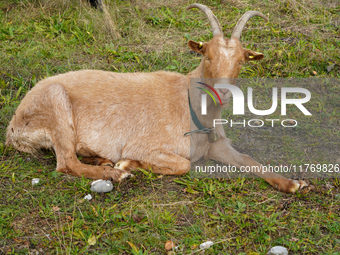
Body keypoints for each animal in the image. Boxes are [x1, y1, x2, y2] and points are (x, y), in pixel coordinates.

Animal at [5, 3, 308, 193]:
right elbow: (183, 165)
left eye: (241, 61)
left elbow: (248, 159)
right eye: (207, 56)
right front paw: (127, 164)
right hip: (55, 104)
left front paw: (293, 184)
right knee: (65, 163)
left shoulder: (216, 145)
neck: (190, 105)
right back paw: (115, 172)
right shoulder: (144, 144)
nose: (223, 91)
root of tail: (13, 128)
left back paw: (100, 159)